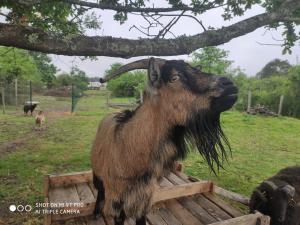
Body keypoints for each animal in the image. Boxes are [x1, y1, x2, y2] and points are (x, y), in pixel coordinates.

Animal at [90, 58, 238, 225]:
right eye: (174, 78)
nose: (229, 85)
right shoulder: (116, 198)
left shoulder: (145, 196)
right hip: (97, 173)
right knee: (99, 190)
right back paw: (95, 213)